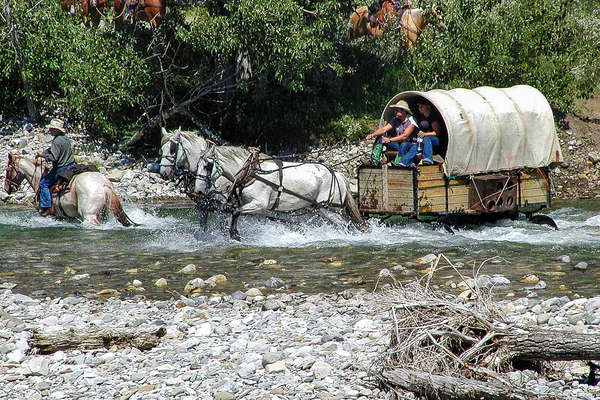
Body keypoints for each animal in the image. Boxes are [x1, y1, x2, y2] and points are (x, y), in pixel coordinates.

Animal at [3, 151, 135, 227]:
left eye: (7, 170)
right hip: (103, 214)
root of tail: (104, 184)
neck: (39, 178)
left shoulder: (46, 214)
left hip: (89, 215)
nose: (6, 188)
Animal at [159, 128, 366, 241]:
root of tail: (338, 175)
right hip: (321, 210)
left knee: (346, 225)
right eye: (161, 149)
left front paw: (234, 234)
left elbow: (234, 212)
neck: (248, 174)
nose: (163, 172)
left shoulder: (257, 205)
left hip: (328, 208)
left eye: (172, 148)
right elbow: (216, 217)